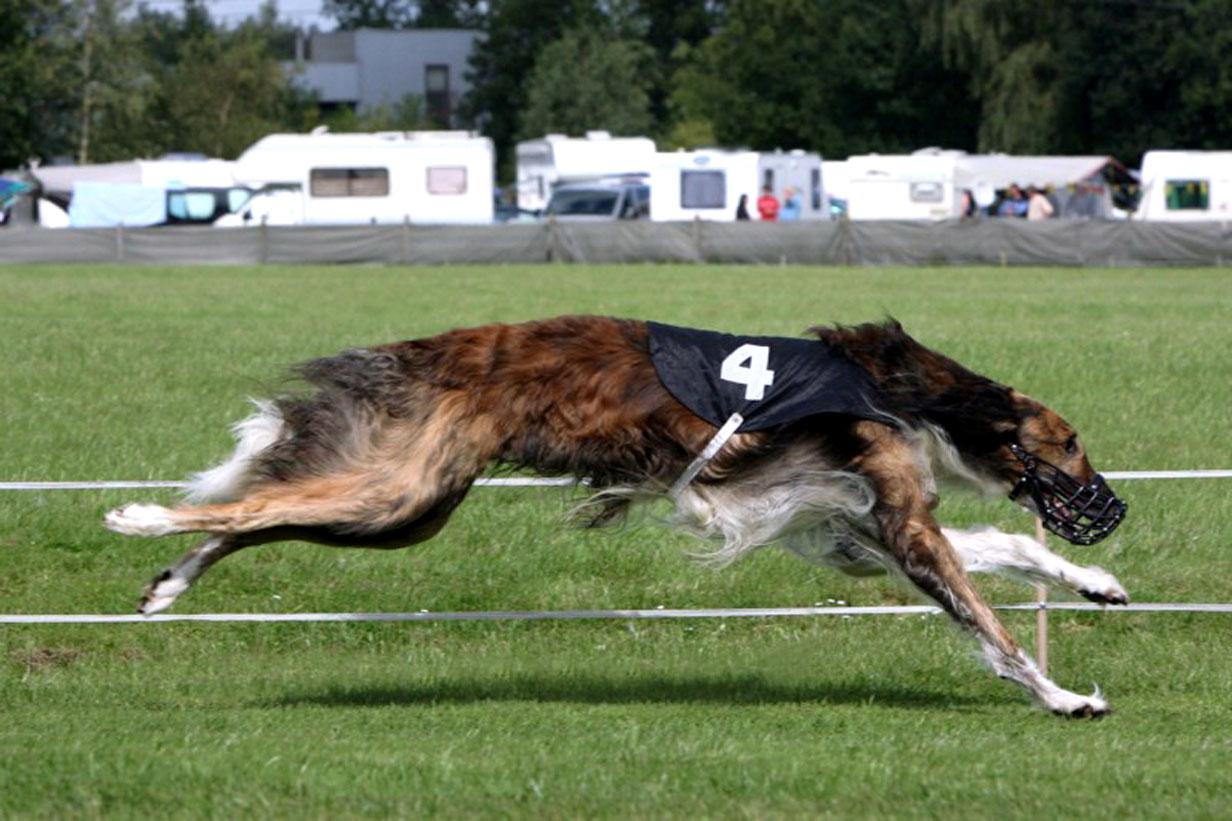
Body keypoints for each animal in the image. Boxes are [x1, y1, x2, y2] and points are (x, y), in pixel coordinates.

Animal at [105, 315, 1128, 714]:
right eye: (1072, 440)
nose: (1110, 508)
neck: (910, 396)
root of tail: (435, 351)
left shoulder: (844, 531)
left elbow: (1005, 548)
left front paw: (1096, 581)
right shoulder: (895, 522)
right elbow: (992, 624)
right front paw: (1065, 696)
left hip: (410, 504)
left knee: (255, 516)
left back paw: (166, 584)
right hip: (402, 491)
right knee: (256, 500)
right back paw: (141, 521)